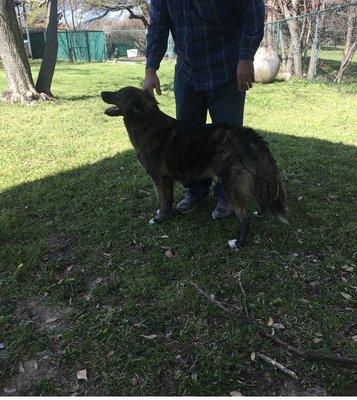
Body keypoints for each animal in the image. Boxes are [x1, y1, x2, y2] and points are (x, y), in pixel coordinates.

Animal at [101, 87, 286, 247]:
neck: (146, 123)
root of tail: (246, 134)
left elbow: (162, 201)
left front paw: (159, 219)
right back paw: (260, 214)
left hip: (231, 184)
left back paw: (238, 243)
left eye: (118, 93)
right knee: (261, 199)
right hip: (250, 179)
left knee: (244, 217)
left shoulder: (158, 179)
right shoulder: (167, 179)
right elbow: (168, 201)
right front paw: (167, 216)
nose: (102, 92)